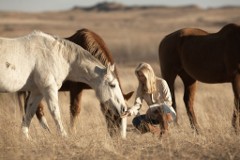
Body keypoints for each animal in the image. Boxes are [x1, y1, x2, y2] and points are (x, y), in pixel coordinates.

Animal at [0, 30, 128, 139]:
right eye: (112, 85)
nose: (123, 108)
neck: (58, 55)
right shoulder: (49, 88)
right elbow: (56, 112)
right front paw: (65, 136)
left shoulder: (37, 91)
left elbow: (29, 112)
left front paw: (25, 138)